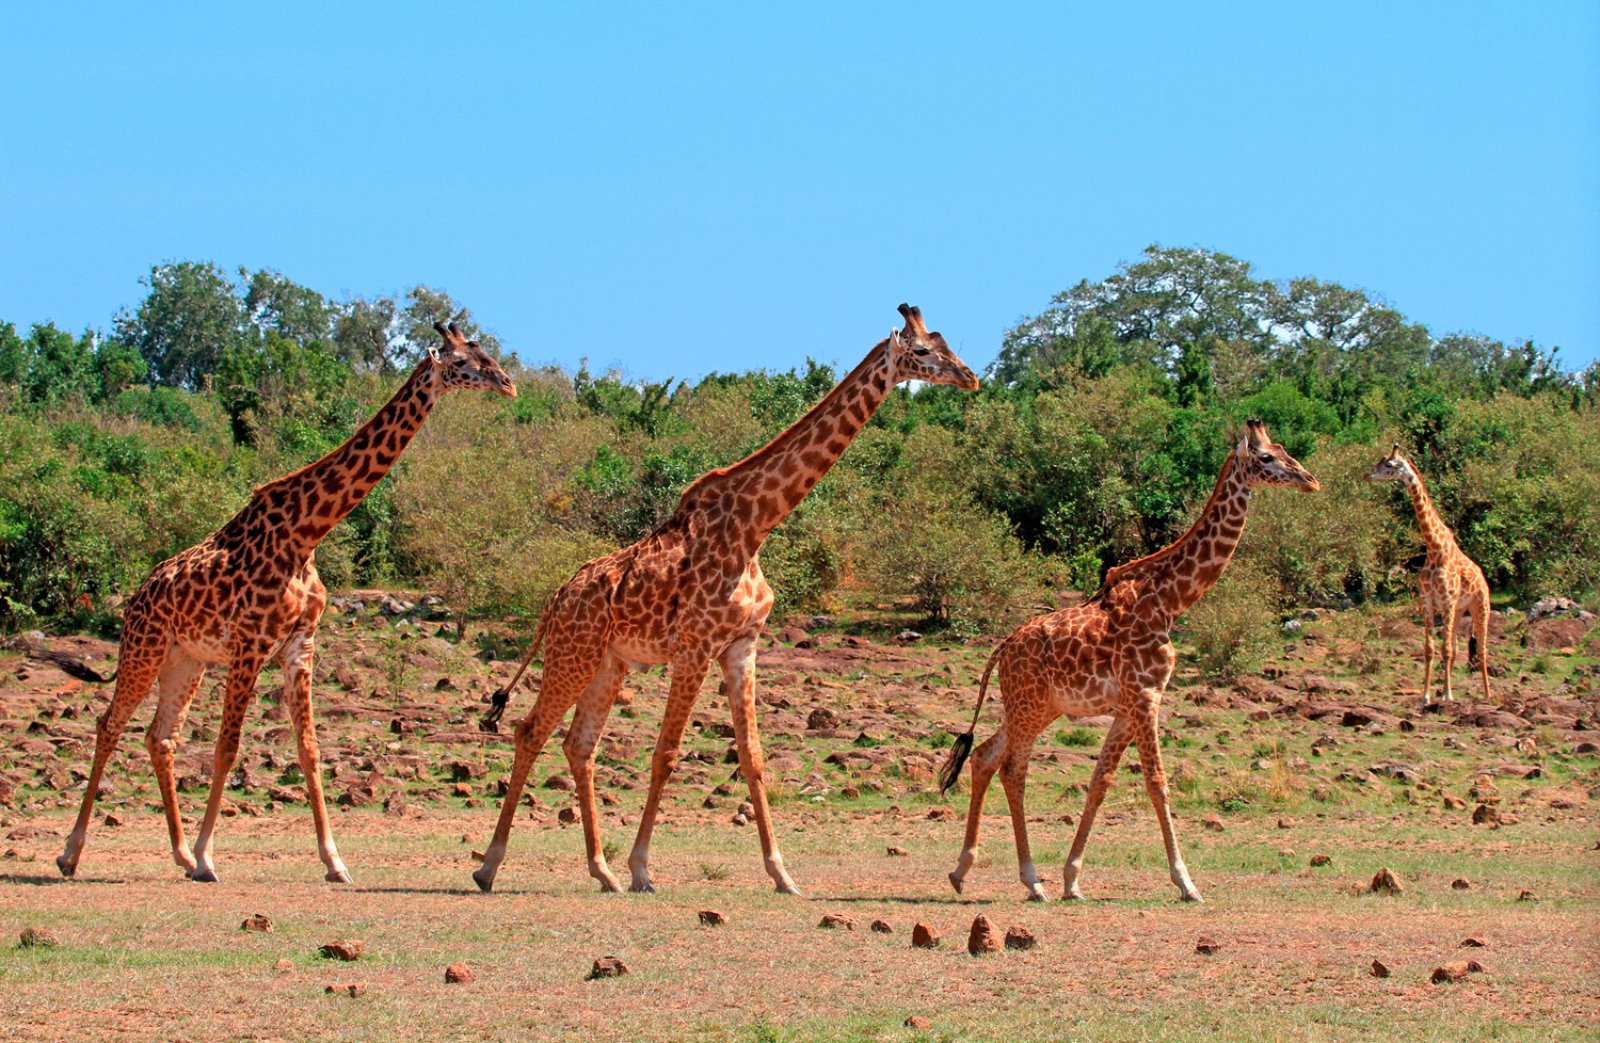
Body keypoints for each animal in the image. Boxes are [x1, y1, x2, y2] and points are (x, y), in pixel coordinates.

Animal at [50, 326, 515, 883]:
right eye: (466, 361)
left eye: (487, 353)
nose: (509, 384)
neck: (306, 533)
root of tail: (136, 597)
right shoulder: (250, 642)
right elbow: (227, 746)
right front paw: (209, 858)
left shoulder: (299, 644)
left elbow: (309, 748)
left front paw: (335, 862)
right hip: (145, 648)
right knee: (110, 725)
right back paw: (72, 854)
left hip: (186, 661)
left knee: (160, 737)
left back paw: (178, 854)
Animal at [467, 303, 979, 895]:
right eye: (921, 351)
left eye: (946, 342)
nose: (971, 376)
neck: (756, 526)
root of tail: (555, 598)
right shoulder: (695, 646)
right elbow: (666, 755)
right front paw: (642, 869)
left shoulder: (741, 646)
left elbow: (753, 757)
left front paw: (783, 874)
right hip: (573, 654)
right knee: (530, 731)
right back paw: (489, 866)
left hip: (607, 663)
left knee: (579, 745)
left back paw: (601, 871)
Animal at [934, 419, 1318, 902]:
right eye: (1267, 457)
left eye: (1285, 451)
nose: (1311, 481)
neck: (1172, 602)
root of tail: (1002, 647)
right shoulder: (1146, 695)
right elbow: (1157, 782)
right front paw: (1186, 882)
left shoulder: (1125, 707)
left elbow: (1101, 782)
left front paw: (1073, 880)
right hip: (1029, 705)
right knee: (1013, 769)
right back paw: (1031, 880)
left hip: (1037, 706)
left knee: (985, 756)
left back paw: (961, 871)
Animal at [1369, 444, 1491, 703]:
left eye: (1389, 465)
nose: (1367, 475)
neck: (1434, 548)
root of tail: (1483, 577)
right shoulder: (1427, 601)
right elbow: (1430, 649)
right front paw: (1427, 696)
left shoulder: (1446, 601)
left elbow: (1444, 649)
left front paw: (1448, 695)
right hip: (1460, 609)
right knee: (1456, 647)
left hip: (1480, 605)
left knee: (1482, 649)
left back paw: (1487, 694)